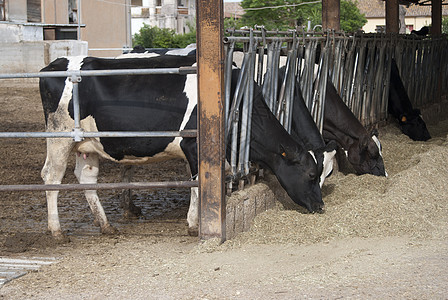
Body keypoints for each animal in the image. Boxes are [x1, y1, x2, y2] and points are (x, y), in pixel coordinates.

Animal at [37, 52, 318, 238]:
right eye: (312, 174)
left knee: (86, 179)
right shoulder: (194, 146)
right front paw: (195, 224)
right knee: (51, 176)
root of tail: (54, 64)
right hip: (59, 136)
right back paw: (56, 230)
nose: (320, 206)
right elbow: (197, 185)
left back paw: (106, 225)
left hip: (87, 145)